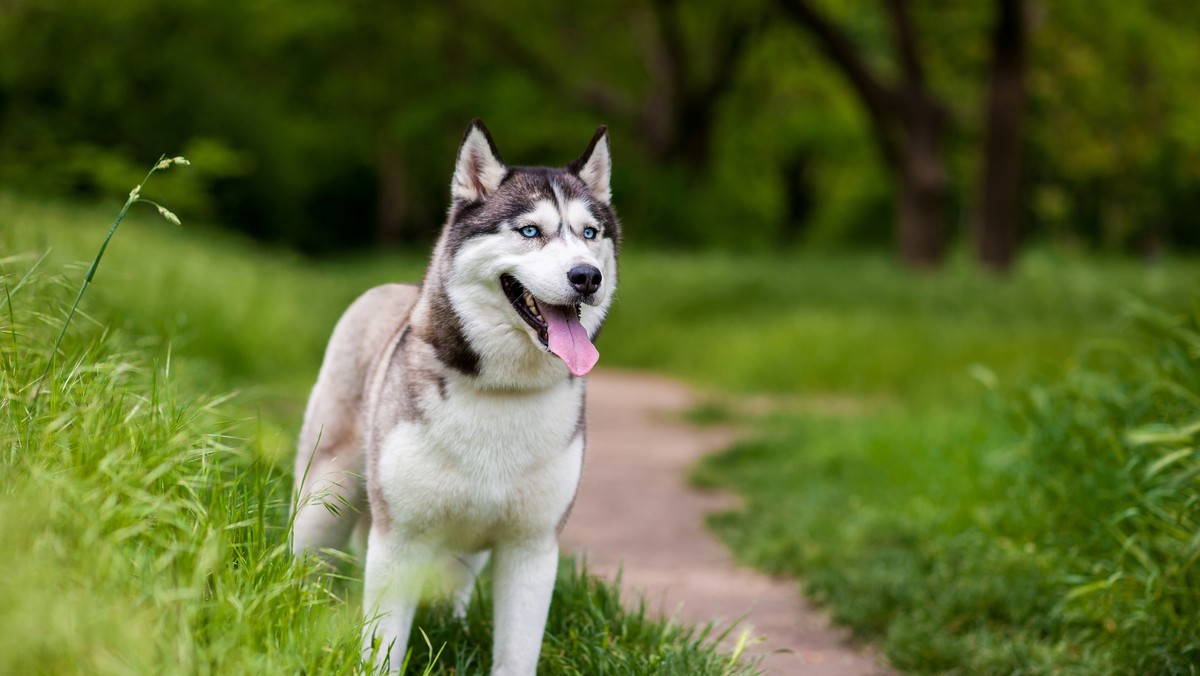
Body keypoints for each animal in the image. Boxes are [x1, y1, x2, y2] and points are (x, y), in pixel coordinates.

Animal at [292, 118, 619, 672]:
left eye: (589, 234)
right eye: (530, 231)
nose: (586, 276)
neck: (501, 390)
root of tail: (389, 288)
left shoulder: (531, 548)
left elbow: (516, 655)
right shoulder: (398, 540)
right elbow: (382, 646)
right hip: (325, 499)